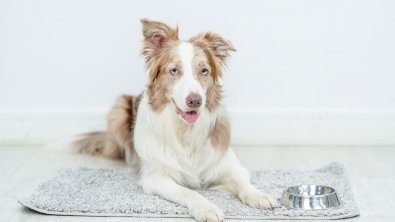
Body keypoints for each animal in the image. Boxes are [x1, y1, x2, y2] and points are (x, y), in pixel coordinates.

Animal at [76, 18, 276, 222]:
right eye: (174, 70)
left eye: (204, 71)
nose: (195, 101)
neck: (184, 129)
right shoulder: (156, 178)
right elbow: (188, 192)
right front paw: (206, 208)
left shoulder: (228, 165)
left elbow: (243, 182)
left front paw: (258, 195)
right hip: (118, 109)